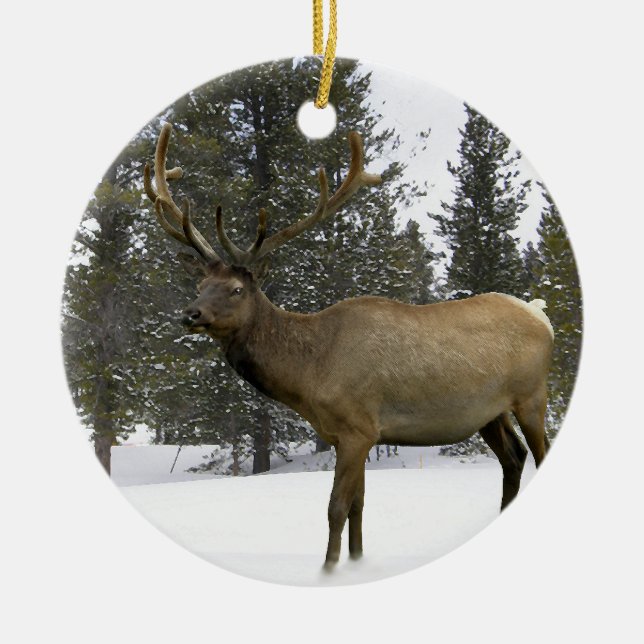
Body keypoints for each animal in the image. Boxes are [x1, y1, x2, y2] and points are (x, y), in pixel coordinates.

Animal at [143, 123, 554, 570]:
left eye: (236, 289)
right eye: (201, 284)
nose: (191, 314)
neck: (308, 376)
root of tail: (540, 313)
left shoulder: (358, 428)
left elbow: (336, 508)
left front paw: (329, 567)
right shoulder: (350, 434)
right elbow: (359, 506)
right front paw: (355, 561)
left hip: (532, 395)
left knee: (537, 454)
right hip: (489, 413)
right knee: (513, 459)